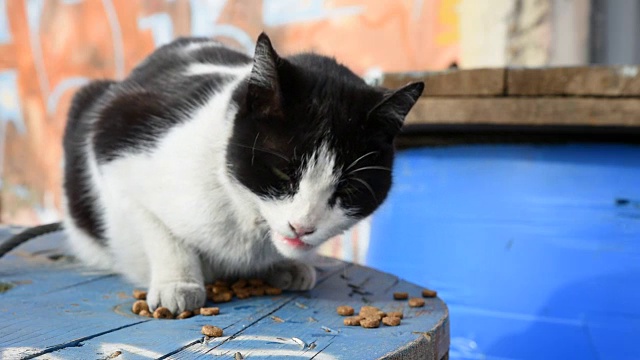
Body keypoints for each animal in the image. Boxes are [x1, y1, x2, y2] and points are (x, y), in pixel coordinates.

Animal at [61, 34, 424, 316]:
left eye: (347, 191)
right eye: (282, 171)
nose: (302, 227)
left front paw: (286, 266)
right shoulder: (113, 141)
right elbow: (157, 227)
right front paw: (178, 283)